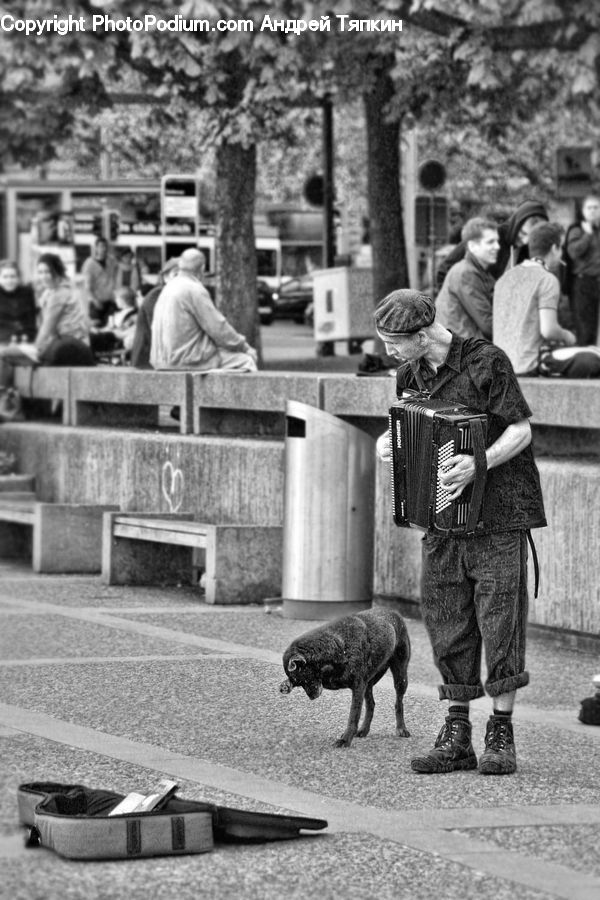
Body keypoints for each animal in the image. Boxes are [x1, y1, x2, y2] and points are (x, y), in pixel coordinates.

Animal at [278, 608, 410, 748]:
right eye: (298, 683)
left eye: (304, 677)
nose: (312, 697)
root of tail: (394, 612)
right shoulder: (351, 684)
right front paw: (286, 685)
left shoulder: (358, 688)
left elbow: (353, 716)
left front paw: (345, 739)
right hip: (369, 683)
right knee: (371, 705)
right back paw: (363, 730)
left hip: (400, 677)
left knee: (398, 703)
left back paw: (401, 728)